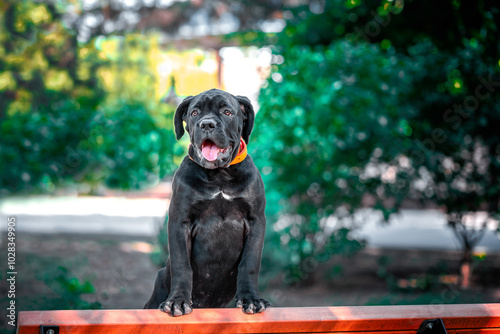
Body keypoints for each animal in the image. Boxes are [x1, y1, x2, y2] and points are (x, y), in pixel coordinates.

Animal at [145, 88, 270, 316]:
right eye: (195, 113)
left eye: (227, 112)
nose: (207, 124)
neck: (219, 175)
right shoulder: (180, 221)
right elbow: (182, 264)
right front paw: (178, 301)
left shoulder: (256, 220)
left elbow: (249, 263)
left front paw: (250, 299)